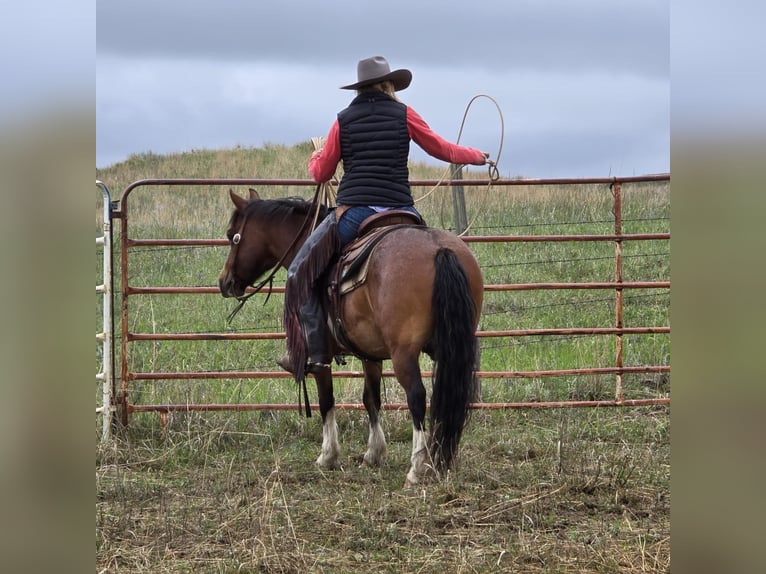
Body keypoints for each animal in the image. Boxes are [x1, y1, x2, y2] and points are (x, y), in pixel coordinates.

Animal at [218, 188, 484, 485]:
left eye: (232, 235)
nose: (224, 282)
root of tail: (439, 249)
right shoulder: (370, 353)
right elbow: (371, 399)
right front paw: (373, 453)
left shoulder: (320, 354)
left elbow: (326, 400)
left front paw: (328, 455)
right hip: (453, 348)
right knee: (447, 396)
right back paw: (440, 460)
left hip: (404, 353)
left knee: (416, 396)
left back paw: (416, 468)